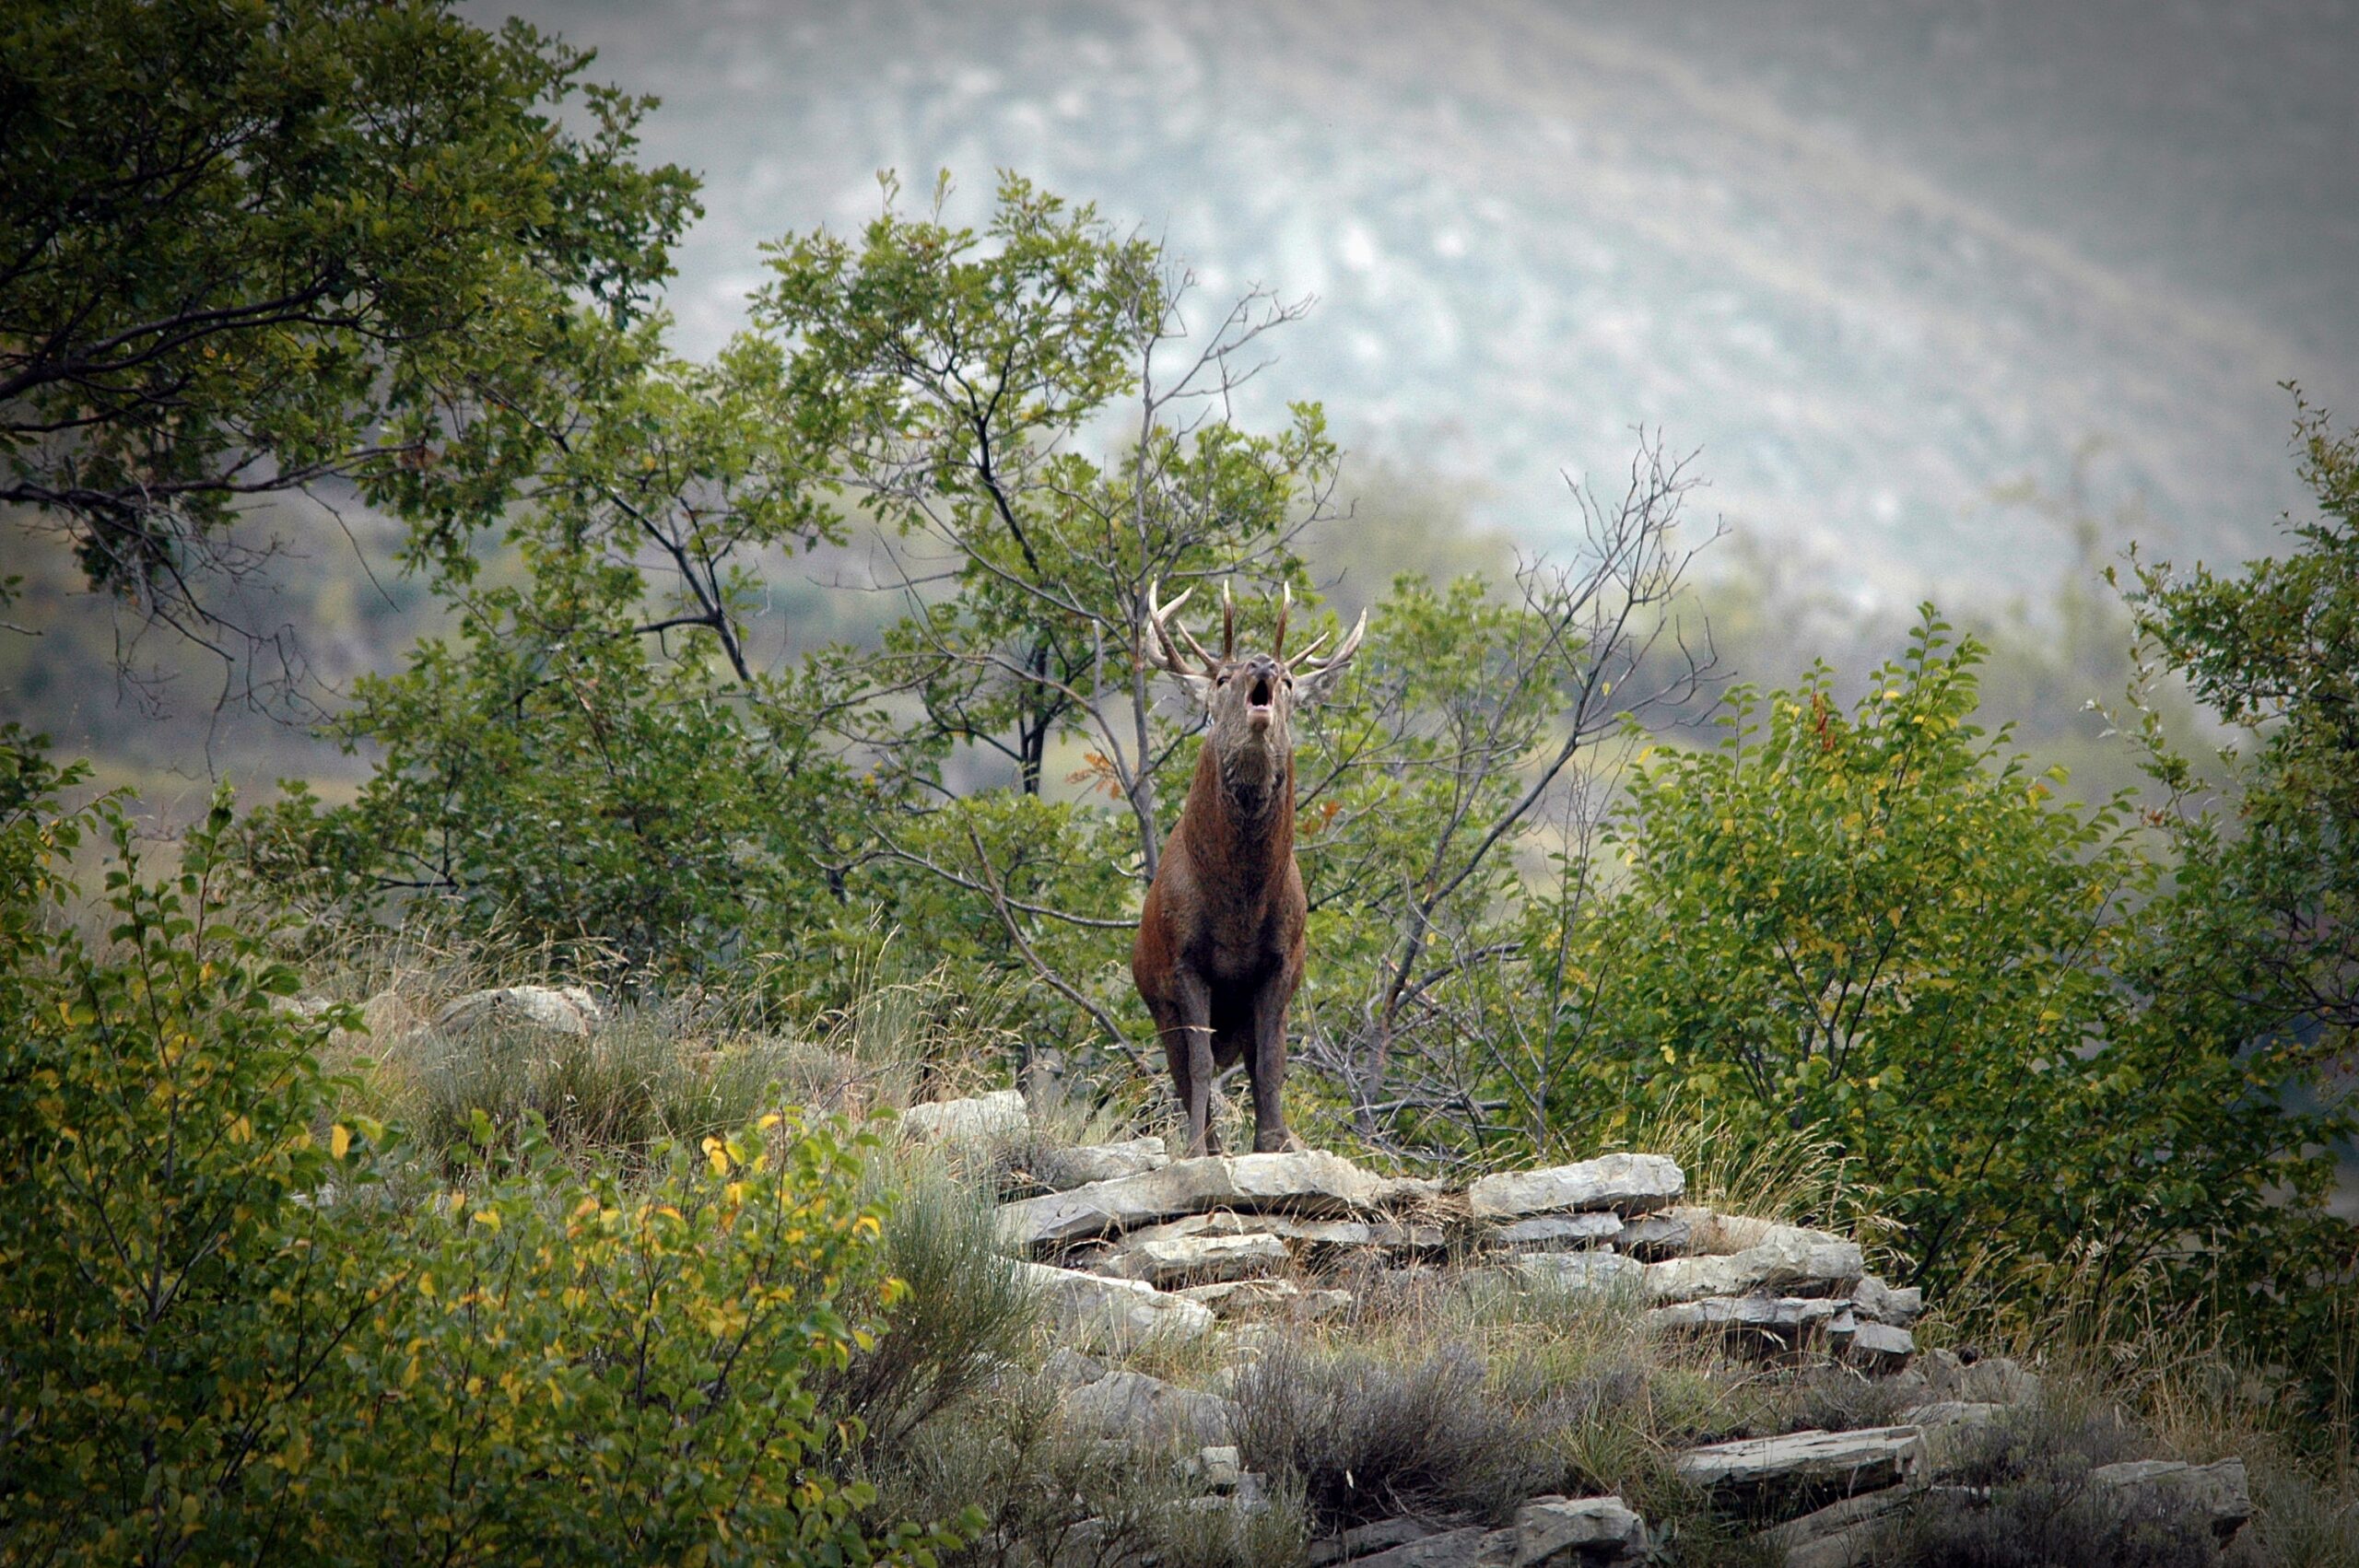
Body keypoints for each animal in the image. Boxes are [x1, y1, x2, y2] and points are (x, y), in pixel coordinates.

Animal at [1133, 580, 1368, 1157]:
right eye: (1222, 677)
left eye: (1288, 680)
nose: (1262, 664)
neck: (1238, 907)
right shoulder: (1184, 961)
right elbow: (1198, 1066)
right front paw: (1197, 1150)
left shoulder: (1282, 961)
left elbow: (1272, 1063)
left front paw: (1277, 1141)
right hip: (1157, 1001)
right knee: (1183, 1070)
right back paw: (1209, 1143)